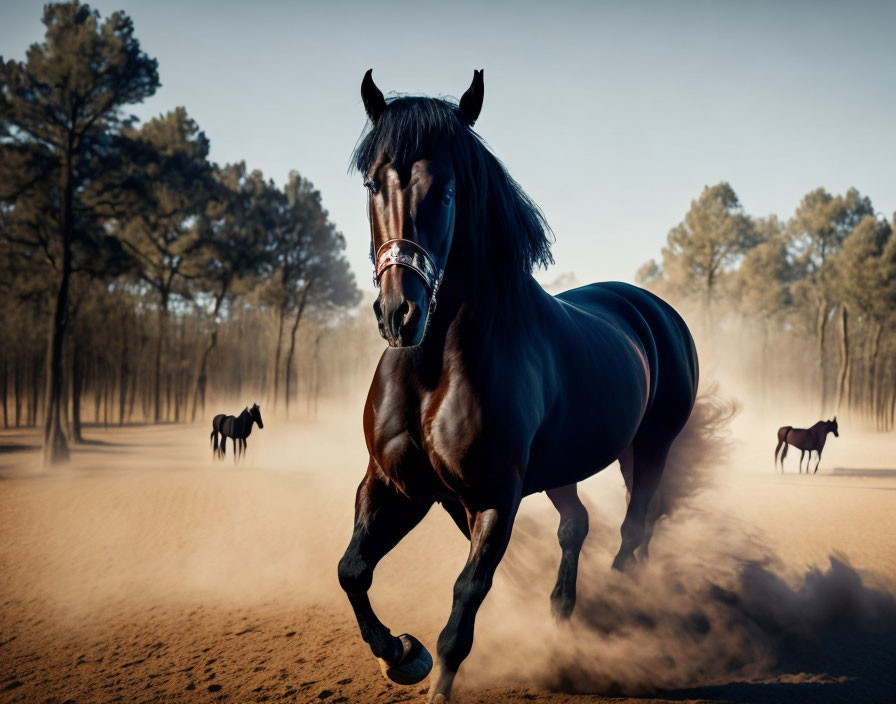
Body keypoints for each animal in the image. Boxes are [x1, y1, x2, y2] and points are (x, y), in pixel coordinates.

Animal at [336, 69, 700, 700]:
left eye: (448, 191)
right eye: (372, 184)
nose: (400, 314)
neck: (434, 370)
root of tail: (657, 312)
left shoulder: (495, 497)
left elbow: (466, 595)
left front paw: (436, 677)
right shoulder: (397, 486)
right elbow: (353, 570)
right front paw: (402, 655)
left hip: (651, 447)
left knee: (634, 531)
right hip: (562, 468)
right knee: (578, 526)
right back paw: (563, 615)